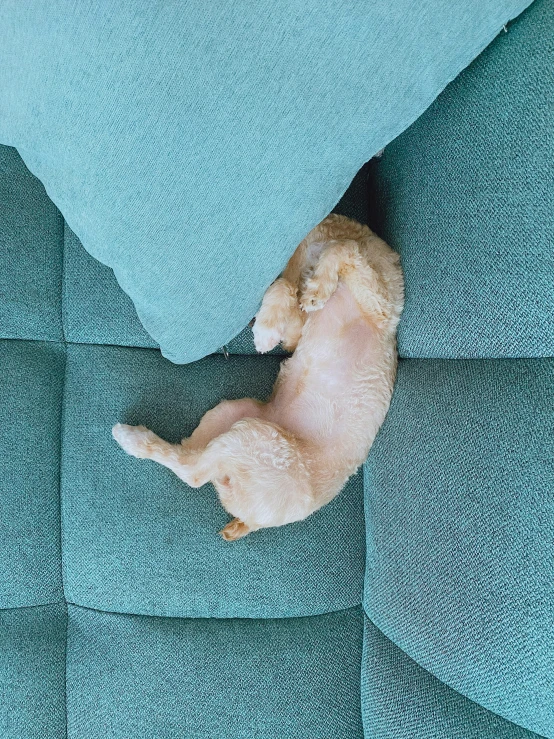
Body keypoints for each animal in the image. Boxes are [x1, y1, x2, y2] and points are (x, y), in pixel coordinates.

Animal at [113, 211, 406, 540]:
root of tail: (250, 522)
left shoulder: (381, 306)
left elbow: (342, 250)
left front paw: (315, 290)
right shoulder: (297, 334)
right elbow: (284, 287)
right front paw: (269, 326)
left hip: (257, 439)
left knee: (193, 472)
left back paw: (132, 439)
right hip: (233, 415)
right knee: (194, 460)